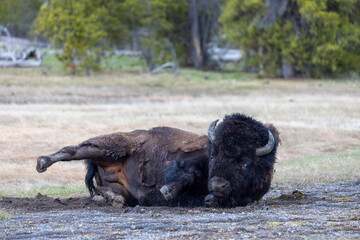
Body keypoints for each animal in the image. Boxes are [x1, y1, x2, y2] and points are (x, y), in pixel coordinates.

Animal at [35, 113, 278, 207]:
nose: (218, 184)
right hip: (109, 148)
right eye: (213, 154)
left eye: (246, 161)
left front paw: (209, 197)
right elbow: (186, 175)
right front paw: (167, 191)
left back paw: (114, 200)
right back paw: (42, 162)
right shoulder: (186, 164)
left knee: (103, 190)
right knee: (74, 150)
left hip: (118, 184)